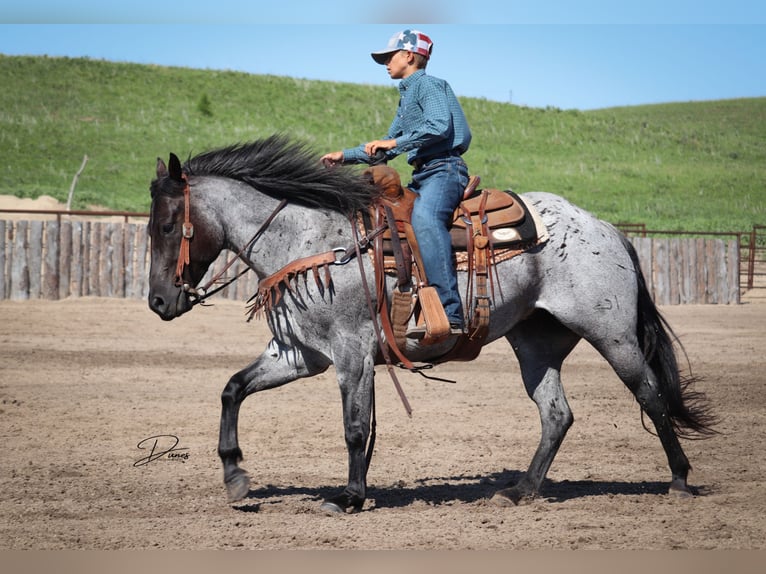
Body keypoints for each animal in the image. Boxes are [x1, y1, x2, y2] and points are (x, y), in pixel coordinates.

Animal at [147, 137, 716, 516]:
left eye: (170, 226)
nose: (158, 302)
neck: (313, 240)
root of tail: (606, 229)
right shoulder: (299, 353)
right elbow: (232, 389)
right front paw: (235, 476)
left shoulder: (351, 353)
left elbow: (355, 427)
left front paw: (350, 497)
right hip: (535, 343)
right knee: (557, 414)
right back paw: (520, 490)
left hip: (611, 332)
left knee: (650, 394)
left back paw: (679, 480)